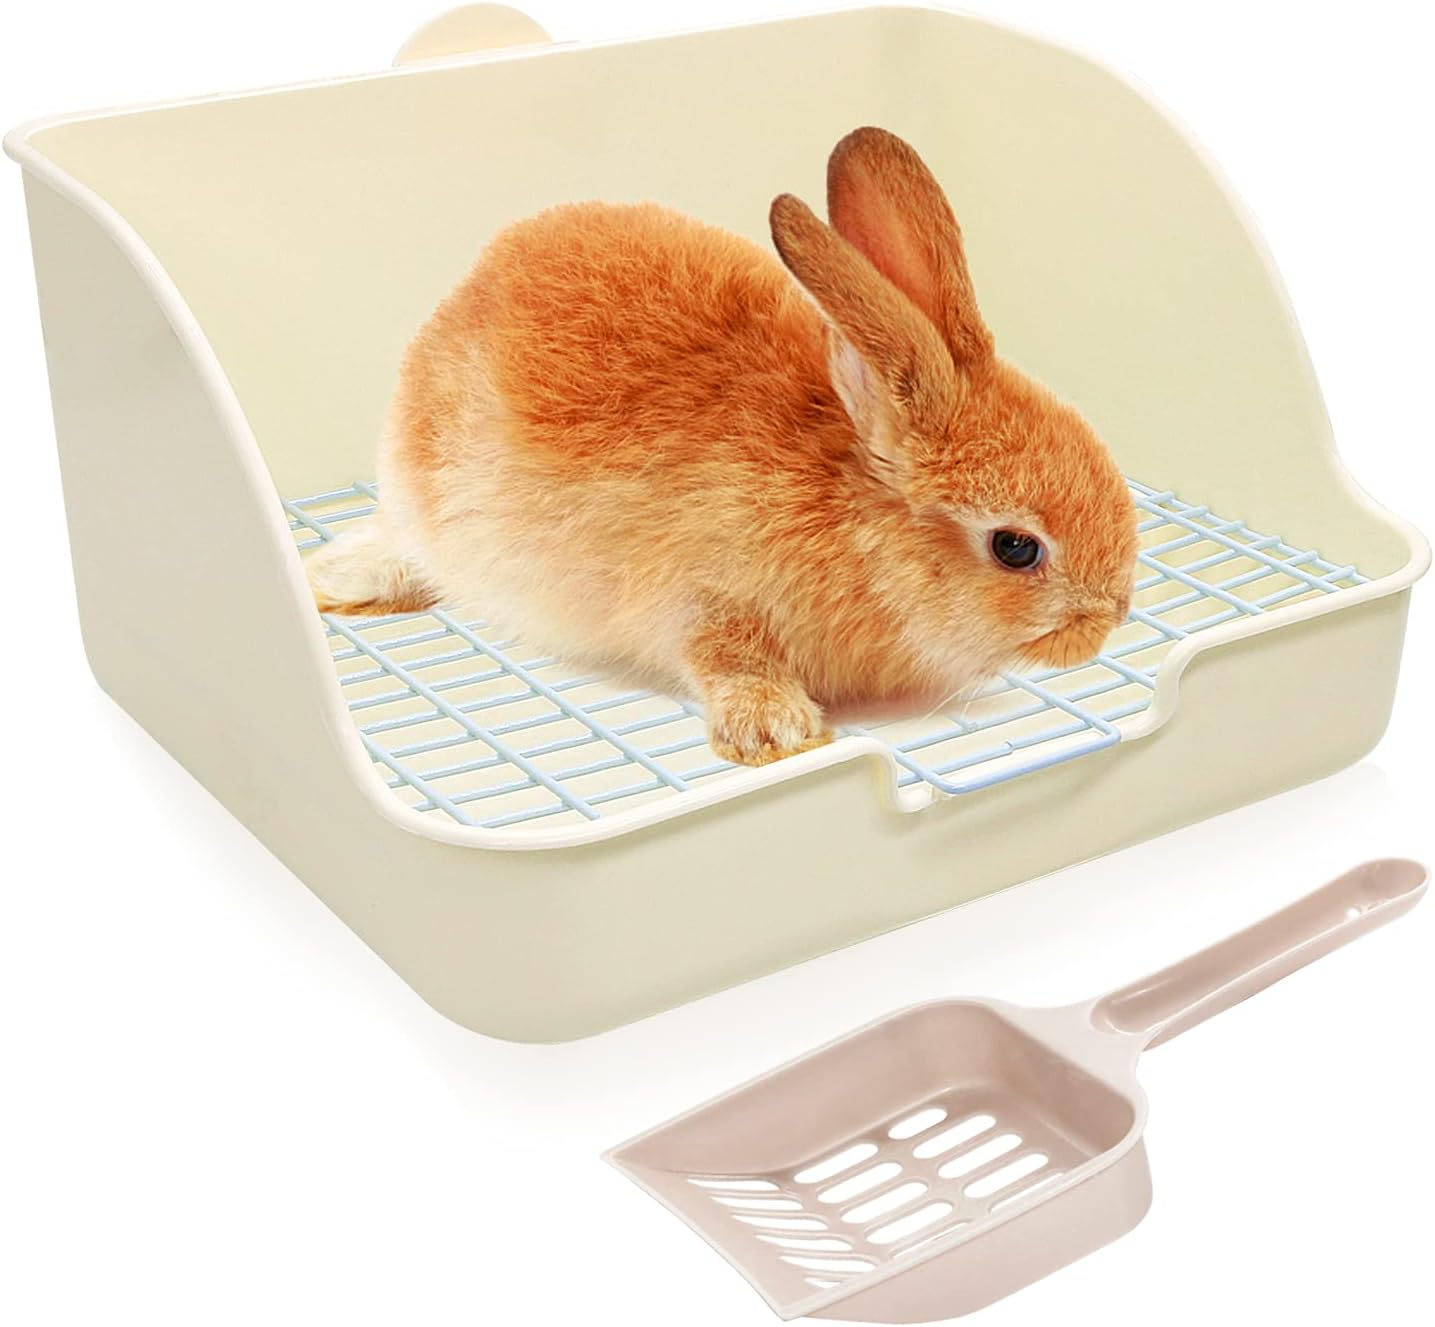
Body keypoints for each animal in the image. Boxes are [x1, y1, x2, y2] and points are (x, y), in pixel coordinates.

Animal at [307, 127, 1138, 767]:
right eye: (1015, 548)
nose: (1109, 617)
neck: (849, 513)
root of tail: (465, 287)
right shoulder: (701, 594)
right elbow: (726, 655)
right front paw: (775, 732)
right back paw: (339, 580)